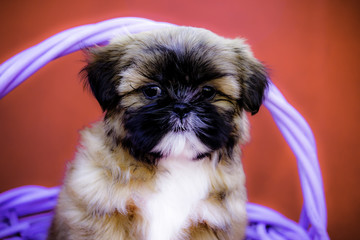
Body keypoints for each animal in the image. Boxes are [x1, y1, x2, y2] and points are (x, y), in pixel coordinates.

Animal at [47, 26, 268, 240]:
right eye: (152, 90)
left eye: (208, 92)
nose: (181, 107)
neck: (176, 161)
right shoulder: (102, 209)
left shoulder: (211, 221)